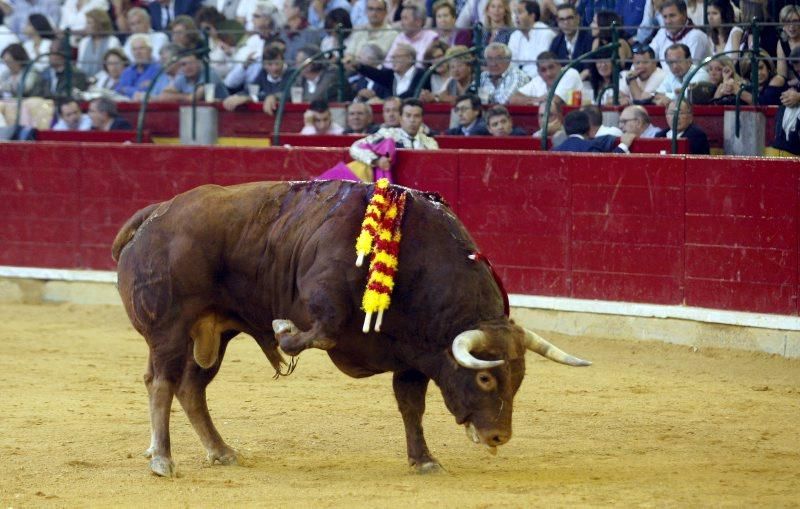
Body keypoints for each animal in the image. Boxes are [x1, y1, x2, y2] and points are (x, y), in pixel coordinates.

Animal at [111, 180, 588, 476]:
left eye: (518, 380)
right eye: (486, 378)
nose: (498, 435)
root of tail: (158, 213)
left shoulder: (413, 355)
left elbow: (411, 407)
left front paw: (423, 460)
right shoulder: (323, 300)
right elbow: (317, 332)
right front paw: (282, 327)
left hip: (214, 332)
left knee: (192, 388)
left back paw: (220, 451)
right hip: (170, 329)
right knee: (162, 382)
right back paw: (162, 460)